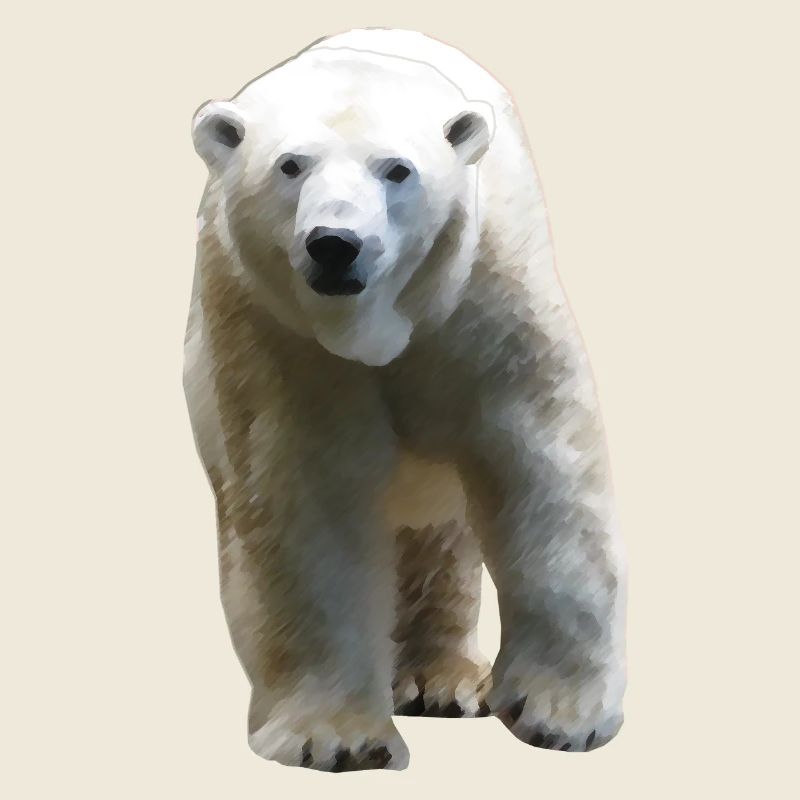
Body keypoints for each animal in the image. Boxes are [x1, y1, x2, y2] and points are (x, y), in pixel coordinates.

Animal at [184, 28, 627, 772]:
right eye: (290, 165)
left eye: (396, 170)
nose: (335, 245)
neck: (376, 326)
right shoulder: (273, 332)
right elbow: (302, 498)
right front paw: (336, 736)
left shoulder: (486, 299)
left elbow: (540, 467)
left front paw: (563, 715)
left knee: (442, 536)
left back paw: (441, 682)